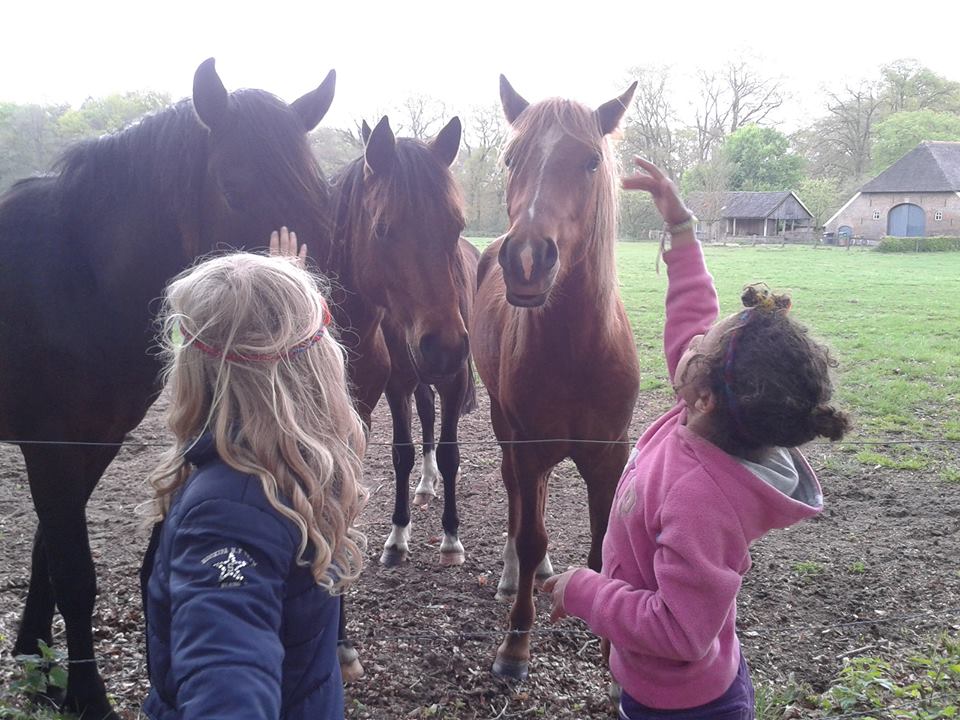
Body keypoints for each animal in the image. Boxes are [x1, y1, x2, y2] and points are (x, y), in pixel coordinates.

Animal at [0, 59, 336, 719]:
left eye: (319, 192)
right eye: (234, 186)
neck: (78, 278)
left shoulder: (93, 443)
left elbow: (46, 554)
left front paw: (35, 665)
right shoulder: (50, 445)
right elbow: (74, 572)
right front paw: (87, 697)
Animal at [470, 76, 640, 680]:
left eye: (591, 160)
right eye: (511, 158)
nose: (525, 259)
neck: (576, 351)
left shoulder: (608, 454)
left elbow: (601, 544)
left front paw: (612, 655)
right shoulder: (528, 445)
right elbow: (528, 530)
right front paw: (516, 643)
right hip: (508, 431)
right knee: (519, 501)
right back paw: (512, 576)